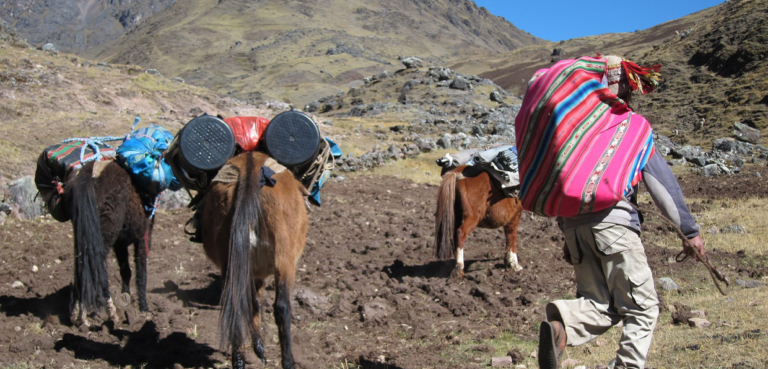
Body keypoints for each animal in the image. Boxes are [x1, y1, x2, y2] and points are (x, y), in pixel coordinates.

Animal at [65, 160, 153, 324]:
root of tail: (90, 174)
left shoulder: (120, 244)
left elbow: (126, 271)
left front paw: (126, 298)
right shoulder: (143, 236)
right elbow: (141, 272)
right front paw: (144, 309)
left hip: (83, 234)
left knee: (81, 268)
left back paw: (77, 315)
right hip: (105, 234)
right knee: (97, 268)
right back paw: (110, 313)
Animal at [200, 150, 310, 368]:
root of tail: (251, 168)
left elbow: (252, 304)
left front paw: (258, 346)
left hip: (232, 259)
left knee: (236, 303)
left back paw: (239, 359)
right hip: (284, 258)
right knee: (282, 307)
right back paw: (288, 361)